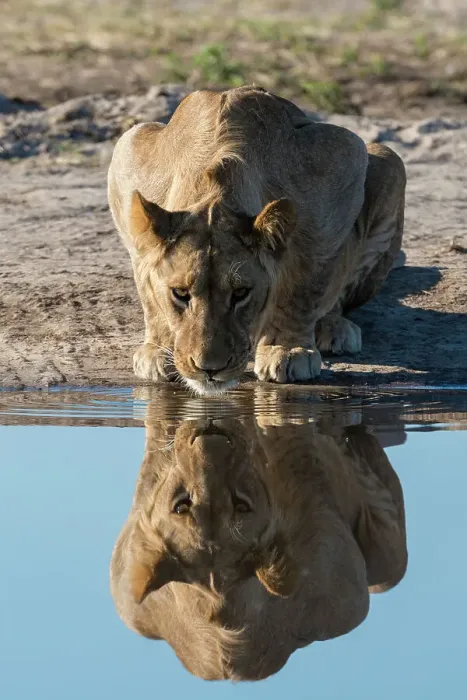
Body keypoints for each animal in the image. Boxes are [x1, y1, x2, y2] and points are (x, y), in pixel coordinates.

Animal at [108, 85, 406, 395]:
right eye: (180, 293)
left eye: (241, 293)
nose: (209, 369)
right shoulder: (127, 154)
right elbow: (147, 285)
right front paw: (158, 349)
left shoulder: (343, 159)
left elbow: (306, 284)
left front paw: (287, 350)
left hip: (389, 161)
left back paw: (334, 328)